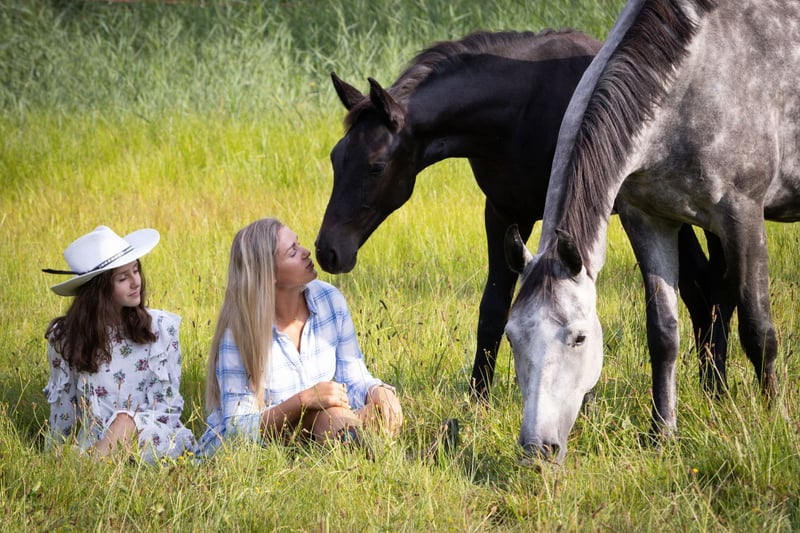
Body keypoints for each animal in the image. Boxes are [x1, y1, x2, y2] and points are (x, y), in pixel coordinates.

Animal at [315, 28, 736, 401]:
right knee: (704, 289)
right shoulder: (503, 211)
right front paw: (478, 398)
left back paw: (714, 387)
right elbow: (492, 309)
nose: (328, 251)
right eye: (335, 157)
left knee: (707, 290)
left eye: (376, 165)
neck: (520, 110)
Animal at [503, 0, 800, 463]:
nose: (538, 448)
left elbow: (759, 330)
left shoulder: (744, 216)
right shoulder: (647, 220)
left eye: (579, 338)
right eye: (512, 338)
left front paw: (776, 422)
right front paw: (663, 432)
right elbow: (663, 333)